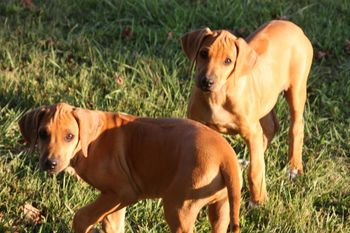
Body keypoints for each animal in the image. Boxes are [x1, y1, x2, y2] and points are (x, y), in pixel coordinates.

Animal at [19, 103, 242, 233]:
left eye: (69, 136)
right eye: (42, 134)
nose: (50, 163)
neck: (91, 142)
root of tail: (226, 156)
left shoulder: (123, 192)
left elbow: (81, 217)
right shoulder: (117, 200)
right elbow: (112, 224)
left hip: (179, 208)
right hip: (220, 207)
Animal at [182, 20, 314, 205]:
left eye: (228, 61)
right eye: (203, 53)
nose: (207, 82)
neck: (217, 97)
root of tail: (292, 25)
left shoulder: (251, 131)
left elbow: (256, 170)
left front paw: (258, 202)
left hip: (296, 89)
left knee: (296, 126)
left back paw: (293, 168)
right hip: (264, 99)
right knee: (270, 128)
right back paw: (247, 160)